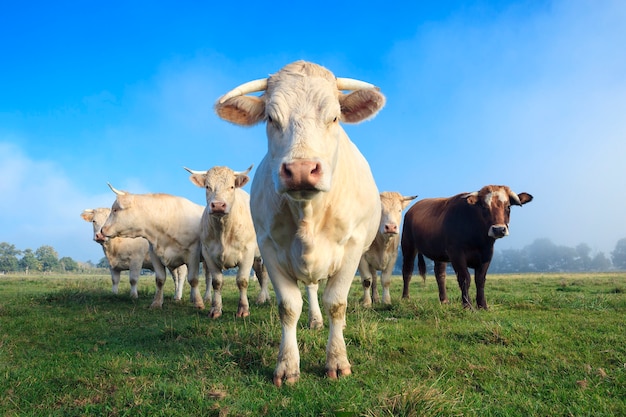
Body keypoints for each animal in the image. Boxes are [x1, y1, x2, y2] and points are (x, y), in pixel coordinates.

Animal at [184, 164, 270, 316]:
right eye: (207, 186)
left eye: (231, 186)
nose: (218, 205)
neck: (223, 230)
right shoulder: (208, 254)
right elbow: (217, 282)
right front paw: (215, 309)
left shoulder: (247, 253)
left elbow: (242, 281)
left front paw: (243, 309)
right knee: (260, 273)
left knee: (264, 274)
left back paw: (262, 298)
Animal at [212, 60, 382, 386]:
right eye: (270, 117)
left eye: (335, 117)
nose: (302, 169)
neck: (308, 215)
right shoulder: (268, 248)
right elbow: (289, 307)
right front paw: (287, 365)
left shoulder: (352, 248)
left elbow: (337, 304)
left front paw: (337, 360)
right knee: (312, 289)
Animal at [400, 184, 532, 308]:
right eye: (484, 207)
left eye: (508, 206)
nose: (499, 229)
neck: (478, 238)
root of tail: (411, 210)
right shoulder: (456, 254)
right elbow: (465, 279)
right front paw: (467, 306)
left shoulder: (487, 254)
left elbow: (480, 279)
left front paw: (482, 305)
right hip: (408, 246)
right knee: (407, 271)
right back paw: (405, 298)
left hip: (438, 253)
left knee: (440, 274)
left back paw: (444, 300)